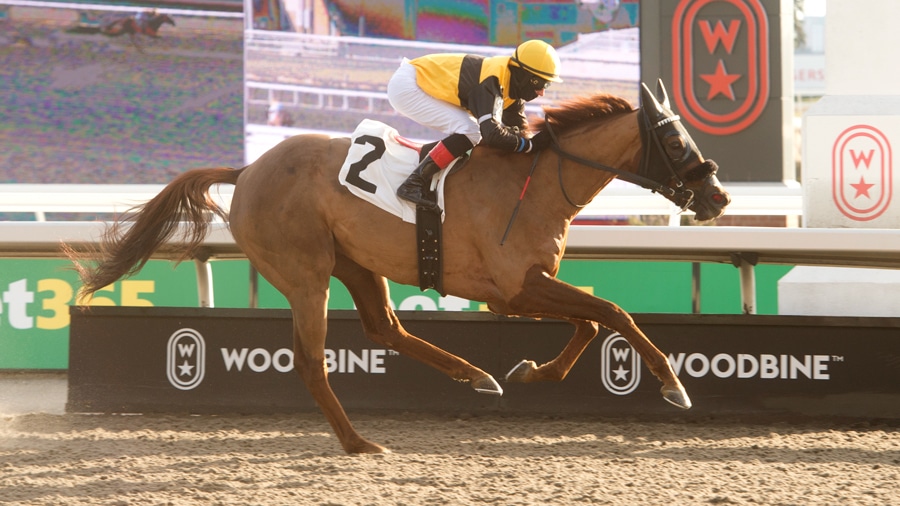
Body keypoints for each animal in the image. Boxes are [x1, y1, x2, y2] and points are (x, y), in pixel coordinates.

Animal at [67, 81, 731, 454]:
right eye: (676, 141)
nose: (718, 198)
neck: (537, 182)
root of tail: (248, 169)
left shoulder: (525, 288)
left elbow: (594, 322)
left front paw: (527, 371)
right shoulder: (516, 289)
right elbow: (612, 313)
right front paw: (673, 385)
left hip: (358, 264)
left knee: (386, 328)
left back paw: (475, 376)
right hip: (307, 275)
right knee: (312, 361)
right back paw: (358, 442)